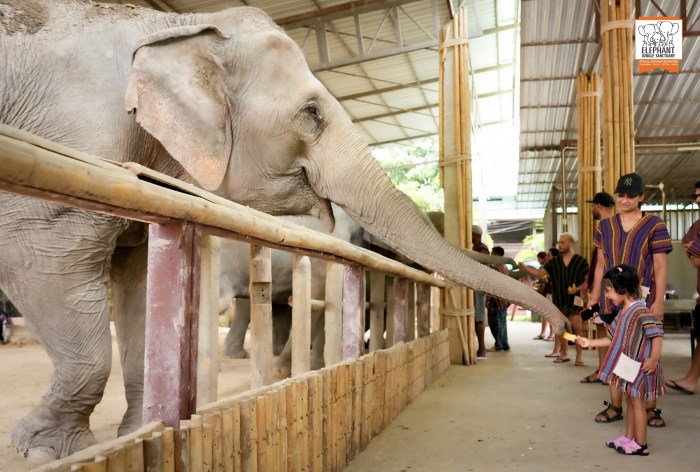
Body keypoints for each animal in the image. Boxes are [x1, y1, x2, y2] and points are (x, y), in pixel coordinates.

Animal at [0, 0, 565, 462]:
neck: (175, 26)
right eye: (312, 113)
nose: (561, 325)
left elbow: (138, 285)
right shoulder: (73, 137)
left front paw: (139, 432)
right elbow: (50, 261)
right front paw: (46, 449)